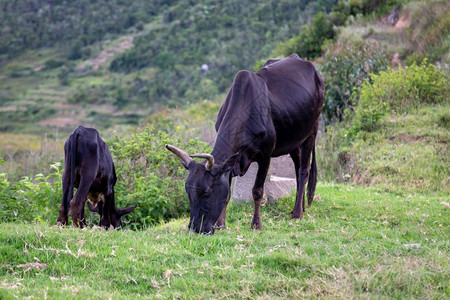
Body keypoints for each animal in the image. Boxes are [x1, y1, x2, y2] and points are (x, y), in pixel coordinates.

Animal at [165, 55, 324, 236]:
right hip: (293, 140)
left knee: (304, 170)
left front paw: (256, 224)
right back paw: (300, 207)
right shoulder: (231, 162)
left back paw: (297, 214)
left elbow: (257, 191)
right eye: (188, 191)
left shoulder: (265, 155)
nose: (195, 229)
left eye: (206, 192)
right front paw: (221, 224)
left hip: (312, 130)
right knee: (298, 168)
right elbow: (227, 194)